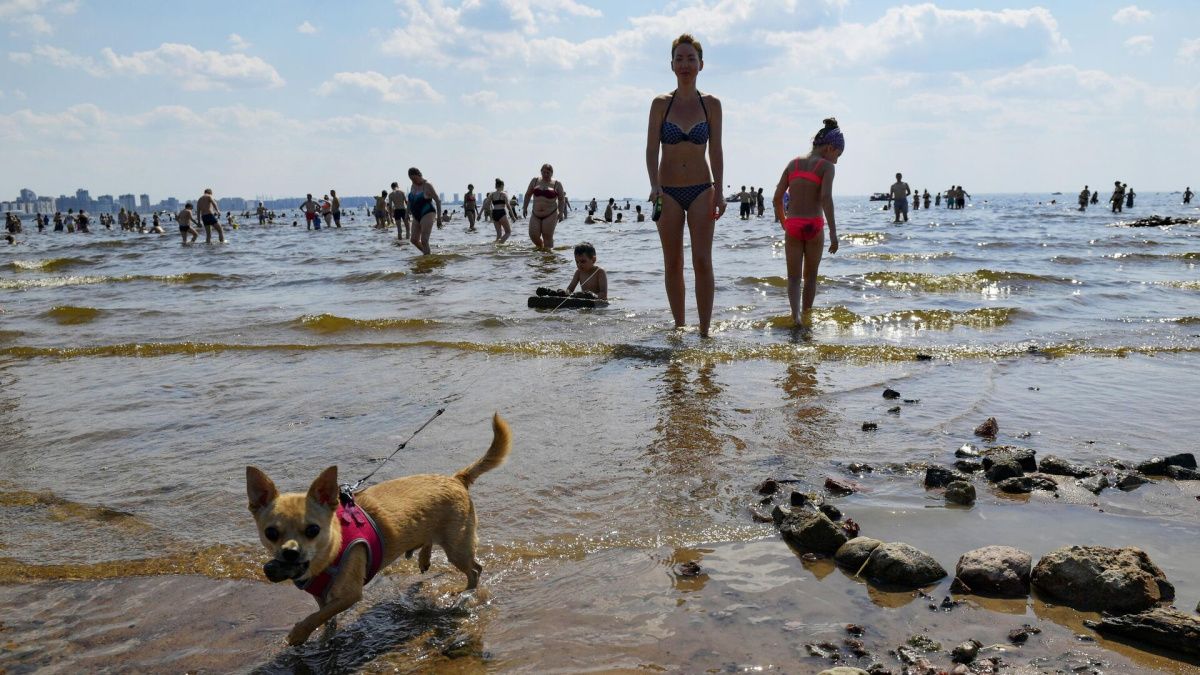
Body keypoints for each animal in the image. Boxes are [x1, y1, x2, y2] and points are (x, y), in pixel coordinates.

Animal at [246, 410, 508, 638]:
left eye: (313, 530)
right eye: (270, 533)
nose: (290, 553)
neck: (330, 551)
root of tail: (456, 479)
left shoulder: (351, 595)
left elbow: (318, 615)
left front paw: (299, 633)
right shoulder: (322, 595)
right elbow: (324, 614)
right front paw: (326, 633)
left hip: (457, 549)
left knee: (475, 570)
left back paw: (466, 592)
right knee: (431, 541)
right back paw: (424, 559)